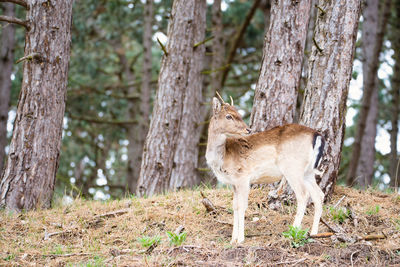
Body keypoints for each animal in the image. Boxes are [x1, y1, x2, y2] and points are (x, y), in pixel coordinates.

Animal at [206, 94, 324, 245]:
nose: (248, 130)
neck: (223, 158)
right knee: (319, 195)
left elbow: (242, 206)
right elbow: (234, 206)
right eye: (229, 116)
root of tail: (317, 135)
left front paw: (240, 239)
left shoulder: (243, 177)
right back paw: (314, 233)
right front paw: (232, 240)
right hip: (308, 172)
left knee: (303, 195)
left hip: (293, 168)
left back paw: (292, 232)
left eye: (238, 114)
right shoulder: (234, 183)